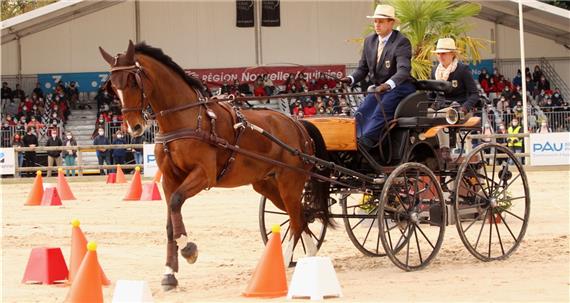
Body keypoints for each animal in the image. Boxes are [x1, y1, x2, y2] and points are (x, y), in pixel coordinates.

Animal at [99, 41, 330, 290]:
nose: (134, 127)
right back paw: (309, 257)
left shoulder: (203, 175)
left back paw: (284, 261)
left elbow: (176, 202)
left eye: (133, 81)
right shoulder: (169, 179)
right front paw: (169, 273)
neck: (186, 118)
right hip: (267, 184)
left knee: (296, 220)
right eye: (113, 87)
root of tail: (297, 124)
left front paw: (188, 249)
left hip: (290, 182)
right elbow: (170, 222)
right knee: (301, 215)